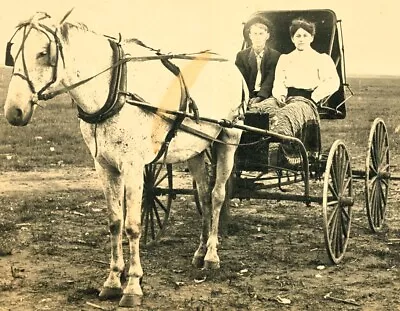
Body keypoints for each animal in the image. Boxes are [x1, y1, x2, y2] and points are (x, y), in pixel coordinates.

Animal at [3, 12, 247, 310]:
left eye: (42, 53)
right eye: (13, 54)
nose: (14, 112)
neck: (115, 89)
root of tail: (227, 62)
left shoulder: (133, 167)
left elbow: (133, 226)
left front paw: (132, 285)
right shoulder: (104, 166)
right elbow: (115, 222)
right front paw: (112, 280)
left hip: (229, 138)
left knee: (217, 195)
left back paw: (211, 255)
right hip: (196, 148)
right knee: (202, 194)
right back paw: (200, 251)